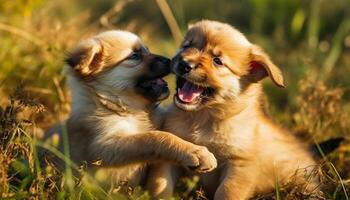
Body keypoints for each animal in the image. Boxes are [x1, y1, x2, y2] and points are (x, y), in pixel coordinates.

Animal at [43, 30, 216, 189]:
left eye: (146, 49)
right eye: (134, 56)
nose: (169, 60)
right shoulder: (105, 147)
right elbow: (156, 137)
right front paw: (197, 153)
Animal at [150, 21, 320, 199]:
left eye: (217, 61)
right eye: (187, 46)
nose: (184, 64)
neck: (203, 118)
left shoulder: (239, 165)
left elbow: (227, 191)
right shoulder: (173, 157)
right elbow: (161, 184)